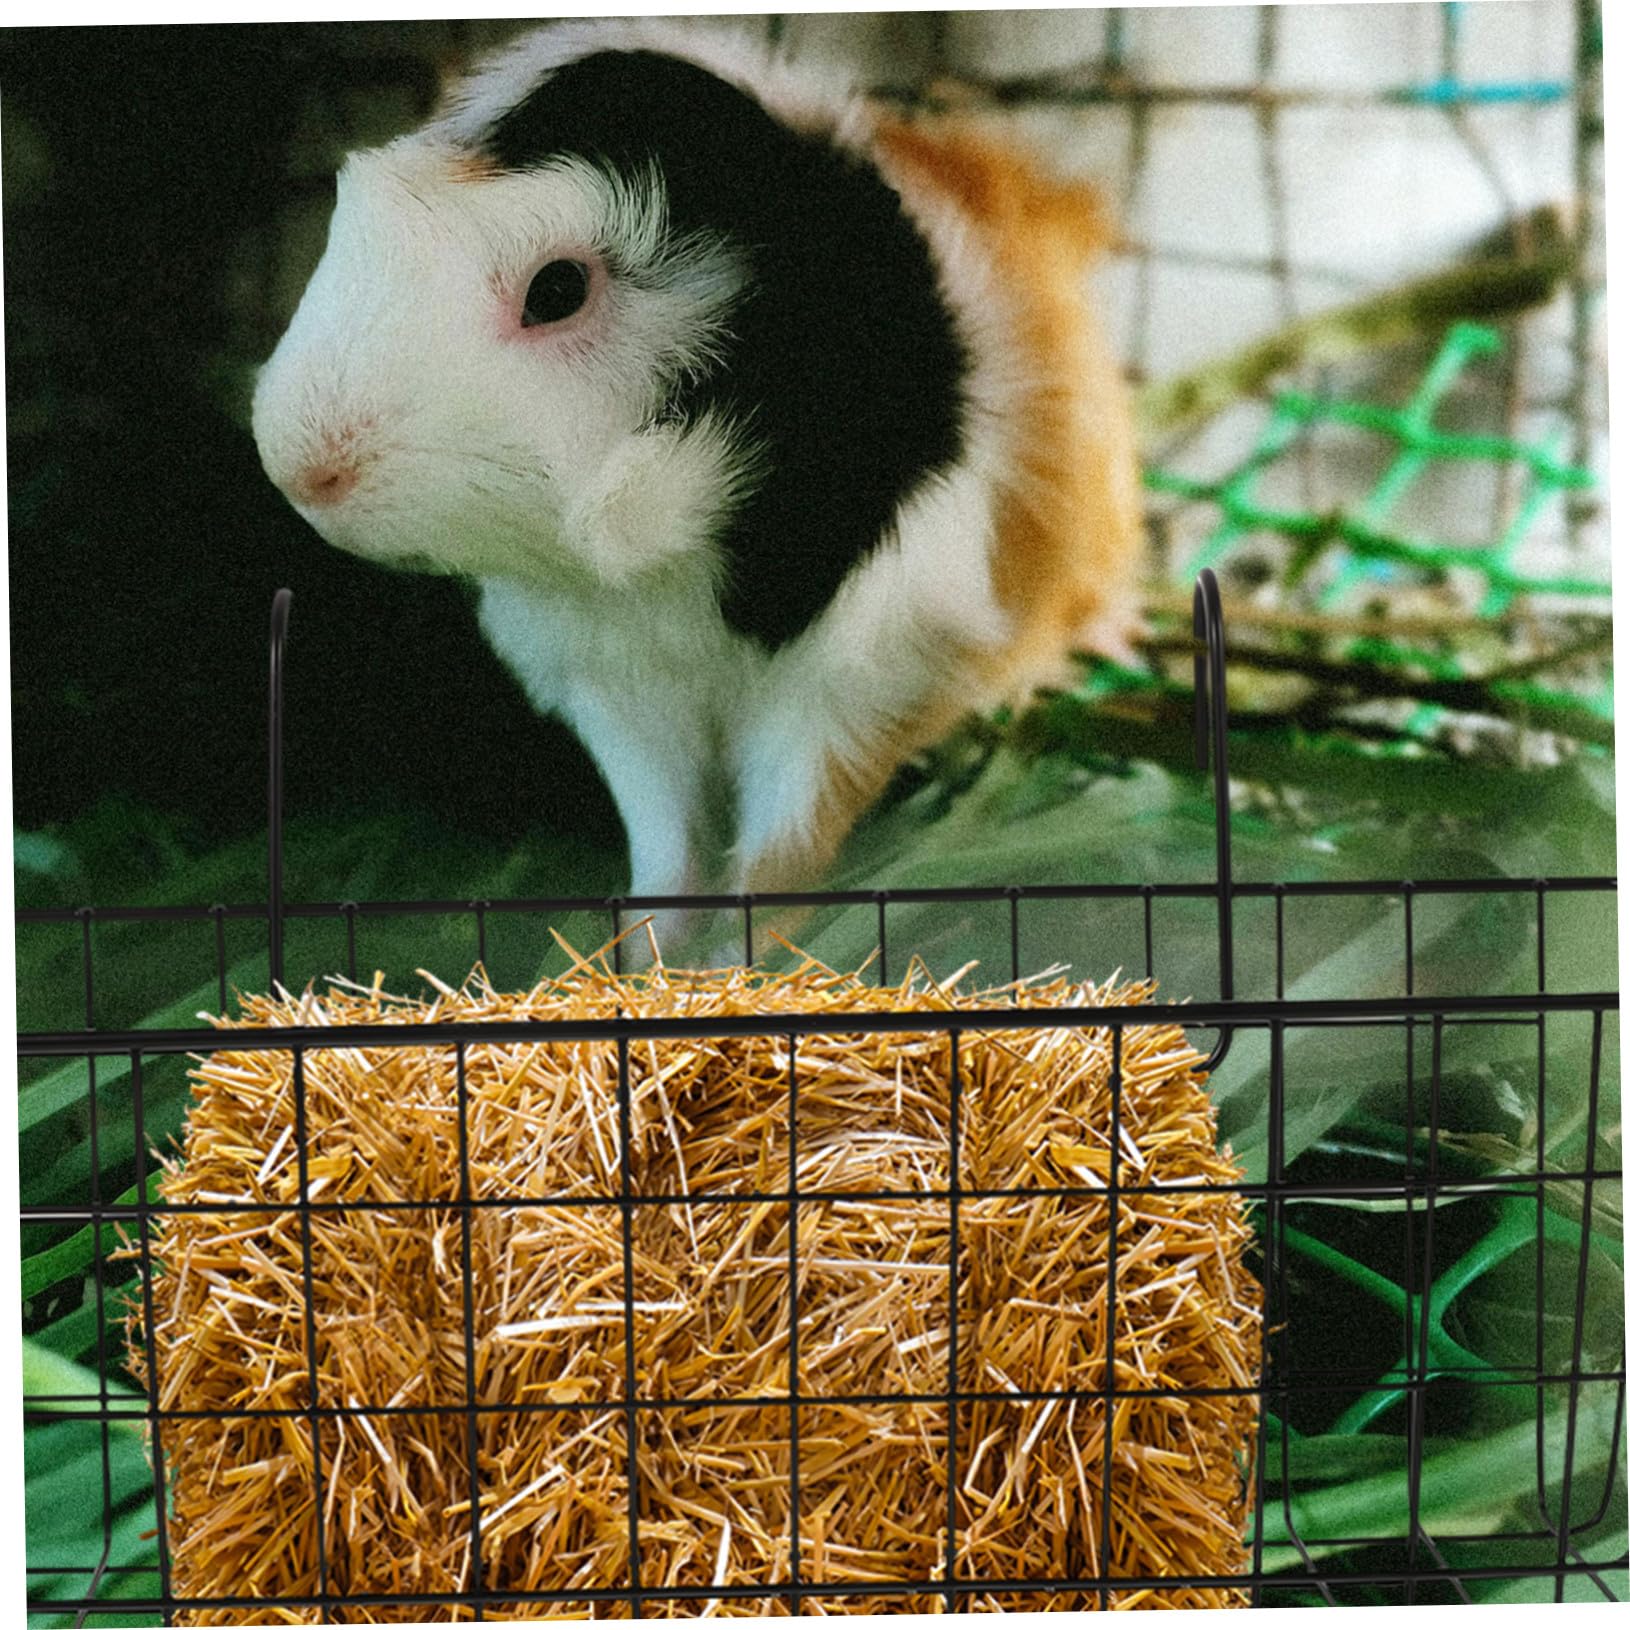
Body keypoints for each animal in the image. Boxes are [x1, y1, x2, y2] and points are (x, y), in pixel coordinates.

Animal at [252, 17, 1142, 930]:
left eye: (558, 288)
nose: (301, 469)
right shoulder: (621, 694)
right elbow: (668, 852)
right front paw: (648, 951)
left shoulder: (856, 684)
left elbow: (778, 860)